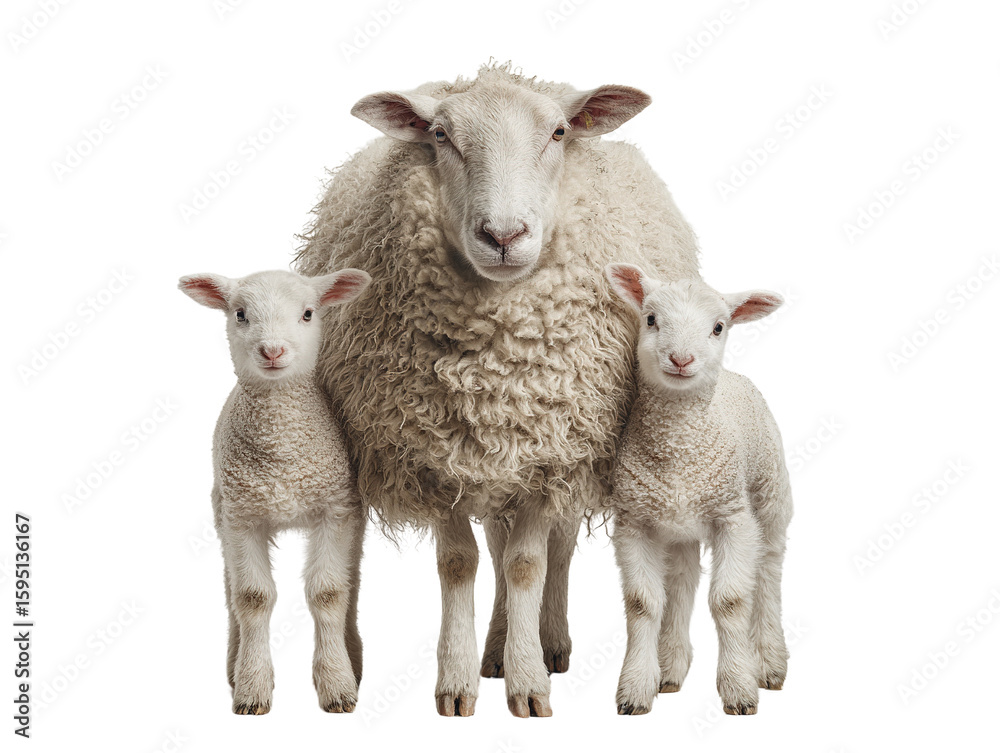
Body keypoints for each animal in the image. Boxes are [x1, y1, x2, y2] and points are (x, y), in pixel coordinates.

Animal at [178, 267, 371, 715]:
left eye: (308, 313)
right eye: (240, 314)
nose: (272, 350)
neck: (281, 448)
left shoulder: (335, 509)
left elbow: (329, 593)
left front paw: (337, 685)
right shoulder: (242, 516)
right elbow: (251, 597)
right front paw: (252, 688)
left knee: (350, 581)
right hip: (222, 509)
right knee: (230, 588)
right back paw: (234, 663)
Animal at [295, 62, 701, 717]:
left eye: (558, 132)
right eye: (439, 135)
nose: (504, 235)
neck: (493, 366)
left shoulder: (549, 451)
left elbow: (529, 563)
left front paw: (529, 681)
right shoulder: (433, 456)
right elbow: (461, 562)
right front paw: (458, 681)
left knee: (556, 545)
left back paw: (547, 640)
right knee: (495, 539)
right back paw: (494, 648)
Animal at [604, 263, 792, 716]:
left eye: (718, 327)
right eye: (651, 319)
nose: (681, 359)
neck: (680, 450)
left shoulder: (733, 518)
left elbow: (730, 601)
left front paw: (739, 688)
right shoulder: (634, 521)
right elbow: (642, 603)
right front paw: (636, 688)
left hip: (771, 496)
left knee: (769, 570)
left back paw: (770, 662)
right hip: (680, 526)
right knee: (682, 579)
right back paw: (671, 668)